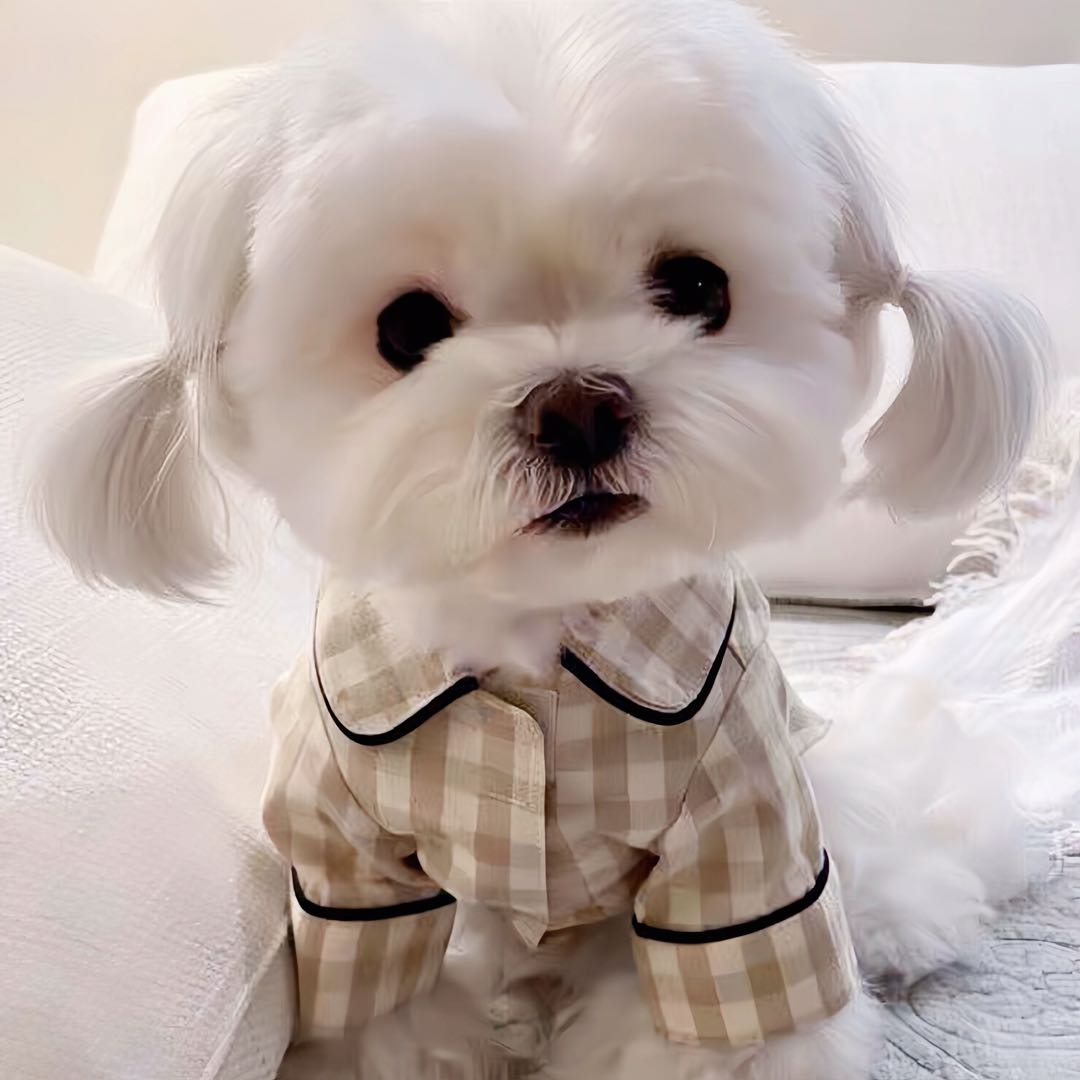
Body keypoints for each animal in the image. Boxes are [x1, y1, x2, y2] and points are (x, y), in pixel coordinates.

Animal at [33, 4, 1054, 1075]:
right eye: (407, 327)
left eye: (697, 287)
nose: (578, 408)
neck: (541, 637)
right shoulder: (345, 859)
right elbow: (380, 1009)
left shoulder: (744, 827)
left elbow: (726, 1016)